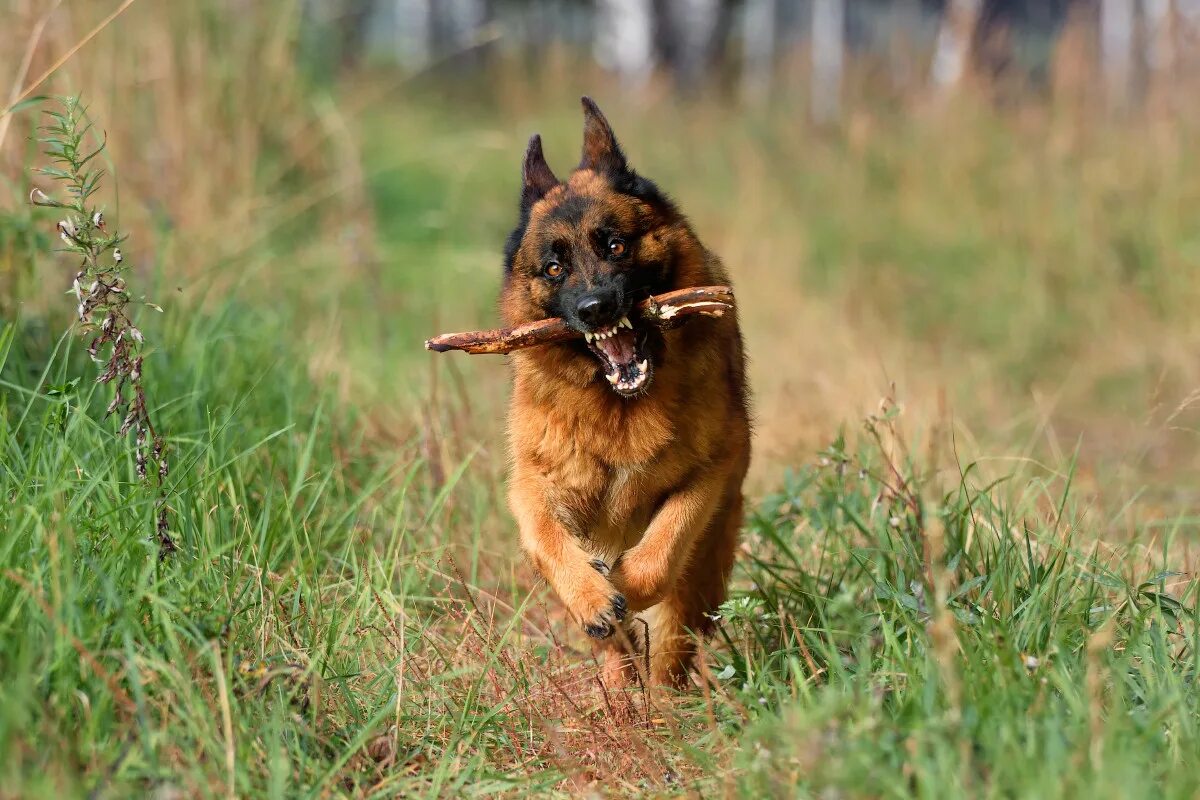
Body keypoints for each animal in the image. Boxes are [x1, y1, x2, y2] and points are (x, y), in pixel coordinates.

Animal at [499, 98, 748, 690]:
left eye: (614, 244)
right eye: (554, 267)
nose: (595, 309)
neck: (620, 408)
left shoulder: (712, 469)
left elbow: (662, 550)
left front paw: (626, 586)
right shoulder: (534, 485)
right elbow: (546, 537)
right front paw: (593, 598)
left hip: (707, 559)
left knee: (674, 632)